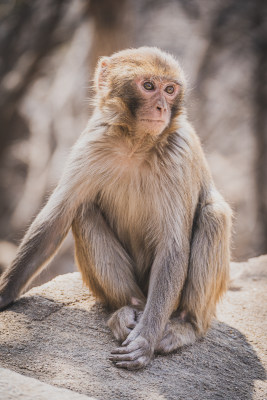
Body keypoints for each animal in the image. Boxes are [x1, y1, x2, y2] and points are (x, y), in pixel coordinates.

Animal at [0, 47, 231, 368]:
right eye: (149, 86)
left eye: (170, 90)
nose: (161, 107)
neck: (136, 143)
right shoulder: (93, 140)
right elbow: (55, 221)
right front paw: (3, 295)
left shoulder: (179, 153)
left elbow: (173, 247)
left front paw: (146, 339)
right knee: (83, 210)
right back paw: (127, 308)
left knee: (214, 215)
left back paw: (185, 325)